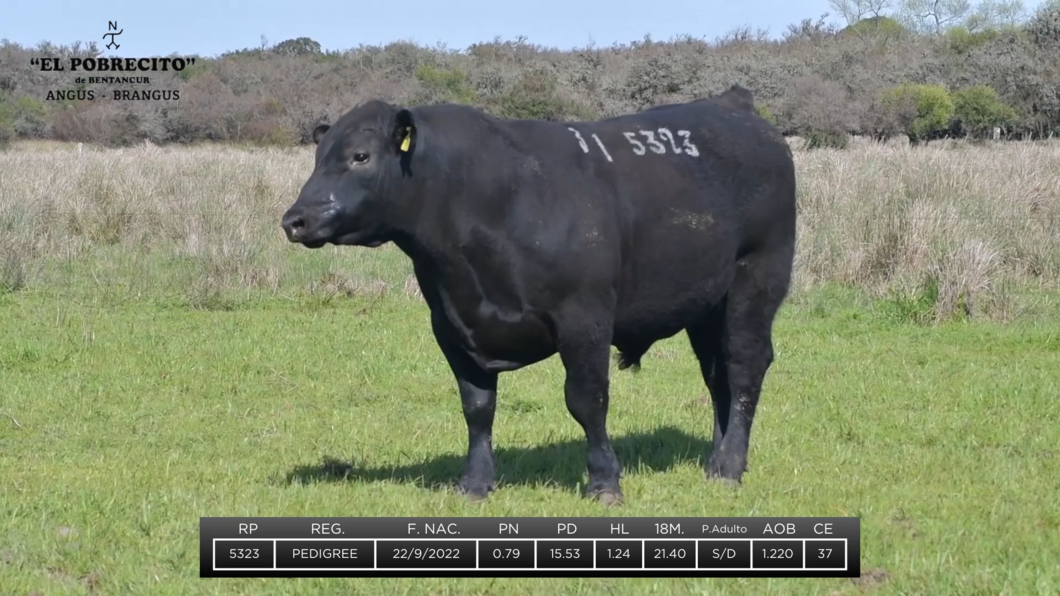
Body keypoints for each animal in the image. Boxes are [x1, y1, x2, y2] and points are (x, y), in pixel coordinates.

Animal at [281, 84, 797, 500]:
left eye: (360, 156)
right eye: (319, 156)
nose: (295, 219)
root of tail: (732, 104)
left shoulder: (584, 317)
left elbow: (587, 400)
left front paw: (604, 482)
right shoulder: (450, 325)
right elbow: (477, 406)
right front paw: (475, 483)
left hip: (757, 278)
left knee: (744, 367)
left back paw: (730, 467)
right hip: (706, 306)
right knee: (717, 376)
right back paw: (716, 461)